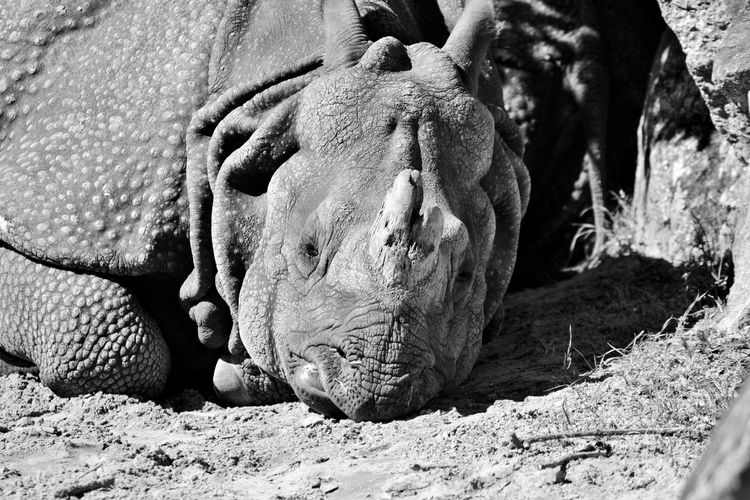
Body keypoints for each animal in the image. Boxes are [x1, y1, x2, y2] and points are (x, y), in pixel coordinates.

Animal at [0, 0, 529, 421]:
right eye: (308, 249)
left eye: (466, 273)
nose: (378, 386)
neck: (275, 99)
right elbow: (119, 350)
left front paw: (239, 375)